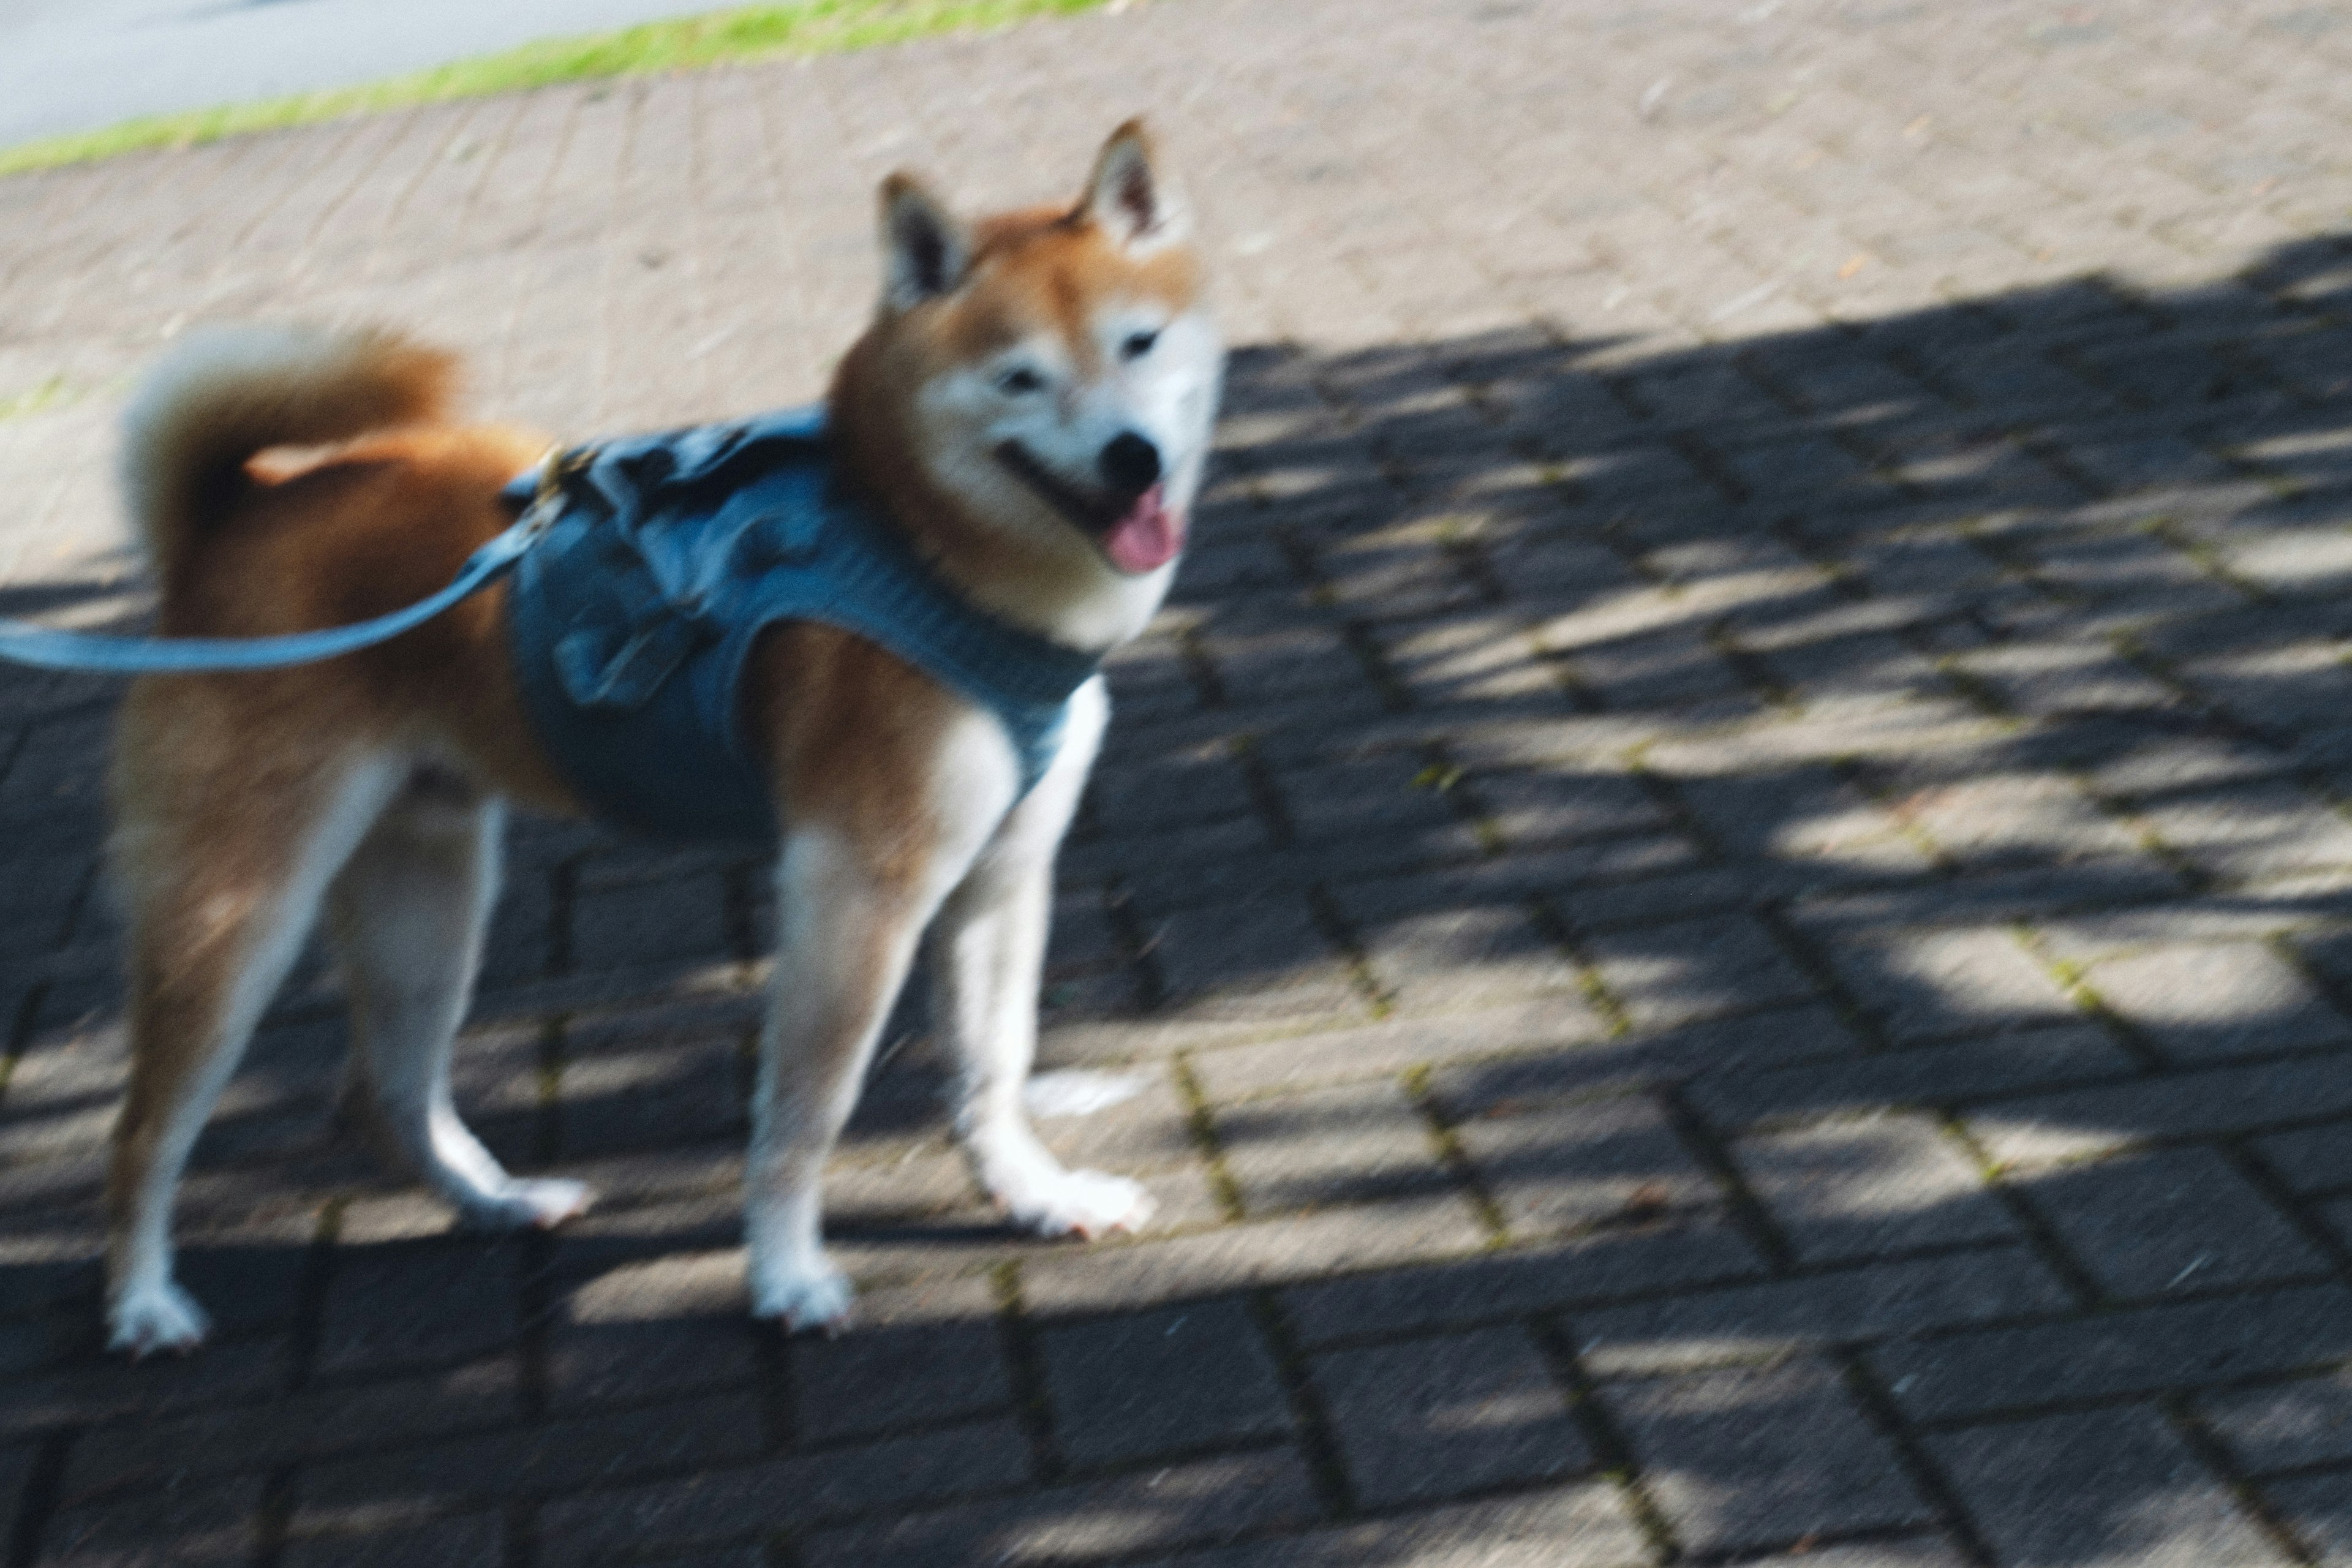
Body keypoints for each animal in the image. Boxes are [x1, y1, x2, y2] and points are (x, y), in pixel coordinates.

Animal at [101, 119, 1223, 1354]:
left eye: (1137, 343)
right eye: (1020, 377)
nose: (1133, 459)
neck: (919, 542)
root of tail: (231, 517)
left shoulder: (1002, 878)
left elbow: (994, 1068)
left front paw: (1034, 1195)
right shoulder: (859, 889)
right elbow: (806, 1114)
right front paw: (785, 1276)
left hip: (429, 898)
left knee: (385, 1091)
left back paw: (497, 1201)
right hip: (238, 919)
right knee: (144, 1132)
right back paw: (143, 1302)